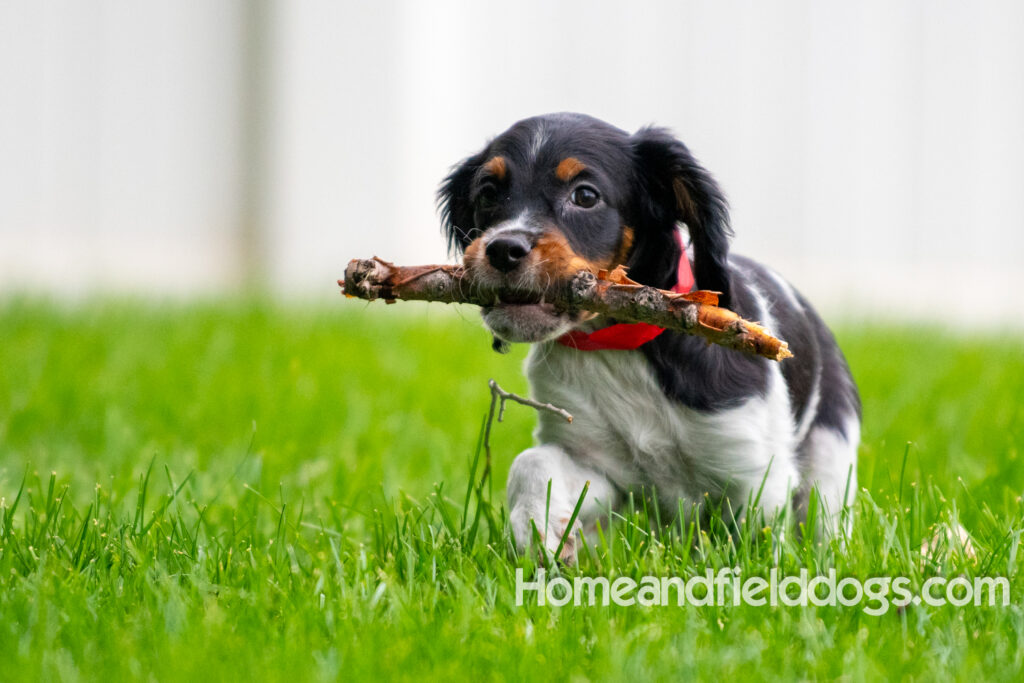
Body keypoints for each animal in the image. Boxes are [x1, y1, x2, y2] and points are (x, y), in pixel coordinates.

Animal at [436, 112, 860, 561]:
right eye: (487, 192)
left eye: (585, 196)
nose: (502, 249)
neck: (620, 347)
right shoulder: (597, 464)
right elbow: (531, 463)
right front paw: (538, 532)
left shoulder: (755, 473)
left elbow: (754, 549)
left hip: (831, 452)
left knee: (826, 518)